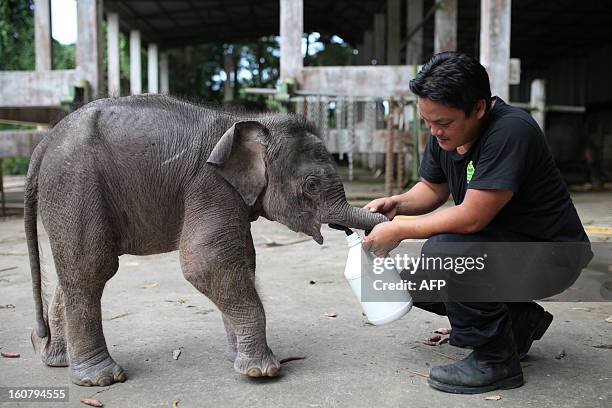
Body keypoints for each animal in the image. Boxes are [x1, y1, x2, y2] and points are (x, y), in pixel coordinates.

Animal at [26, 95, 384, 386]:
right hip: (75, 184)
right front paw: (264, 371)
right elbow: (206, 261)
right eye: (311, 185)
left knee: (73, 272)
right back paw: (101, 378)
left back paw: (58, 361)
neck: (249, 123)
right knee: (91, 268)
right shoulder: (209, 185)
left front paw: (237, 358)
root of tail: (45, 141)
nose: (378, 217)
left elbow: (242, 260)